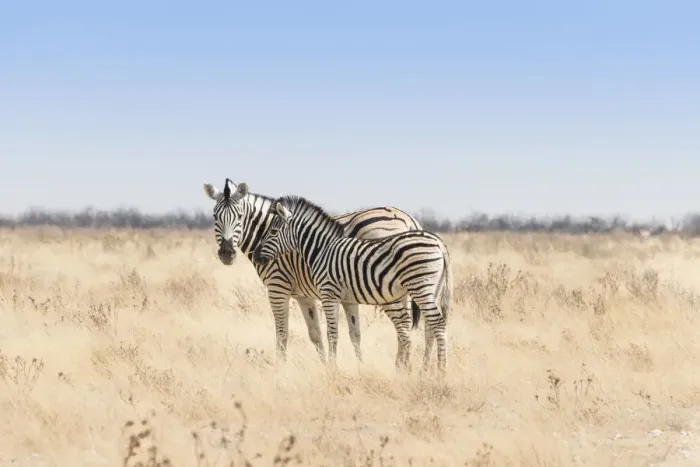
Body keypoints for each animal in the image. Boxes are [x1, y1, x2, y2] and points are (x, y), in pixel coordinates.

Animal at [202, 178, 424, 365]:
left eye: (239, 217)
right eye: (215, 217)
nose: (226, 254)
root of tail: (407, 219)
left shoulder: (277, 287)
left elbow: (282, 332)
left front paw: (281, 369)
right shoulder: (305, 295)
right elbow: (318, 334)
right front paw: (327, 366)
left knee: (403, 327)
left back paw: (401, 369)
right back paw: (404, 367)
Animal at [252, 194, 454, 374]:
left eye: (273, 232)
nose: (256, 256)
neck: (321, 250)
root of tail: (439, 243)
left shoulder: (328, 293)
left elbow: (331, 333)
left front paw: (332, 369)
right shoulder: (345, 298)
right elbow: (351, 333)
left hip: (420, 288)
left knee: (437, 324)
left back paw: (441, 371)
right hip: (432, 291)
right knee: (431, 326)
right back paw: (426, 371)